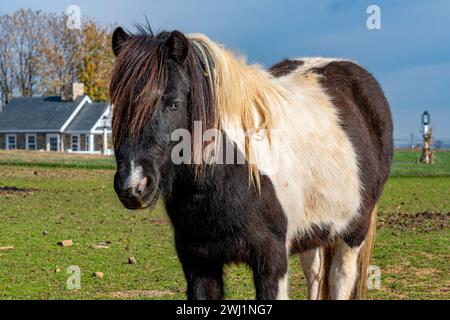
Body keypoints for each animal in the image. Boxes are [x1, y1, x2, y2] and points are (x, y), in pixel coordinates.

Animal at [110, 26, 392, 300]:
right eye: (116, 105)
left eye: (174, 104)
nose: (133, 186)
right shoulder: (198, 263)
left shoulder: (272, 261)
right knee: (314, 273)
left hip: (353, 233)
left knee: (340, 279)